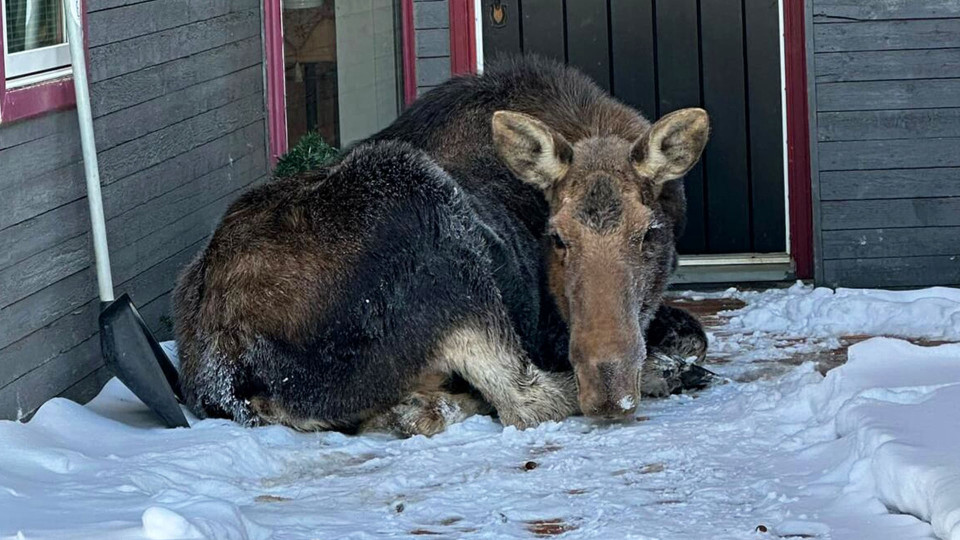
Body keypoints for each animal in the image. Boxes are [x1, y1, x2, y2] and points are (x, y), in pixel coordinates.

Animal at [174, 56, 712, 434]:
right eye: (556, 236)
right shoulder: (550, 332)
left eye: (650, 232)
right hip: (430, 216)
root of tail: (229, 371)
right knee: (524, 397)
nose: (608, 389)